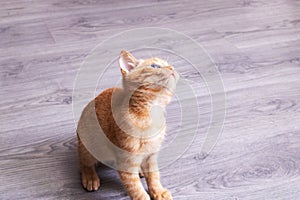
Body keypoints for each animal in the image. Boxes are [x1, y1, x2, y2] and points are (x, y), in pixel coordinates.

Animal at [77, 50, 179, 200]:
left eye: (169, 64)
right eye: (154, 66)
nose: (172, 68)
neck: (151, 112)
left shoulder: (151, 155)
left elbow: (154, 176)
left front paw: (158, 191)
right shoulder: (126, 162)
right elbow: (135, 188)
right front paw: (144, 196)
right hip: (90, 146)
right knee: (83, 161)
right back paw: (90, 177)